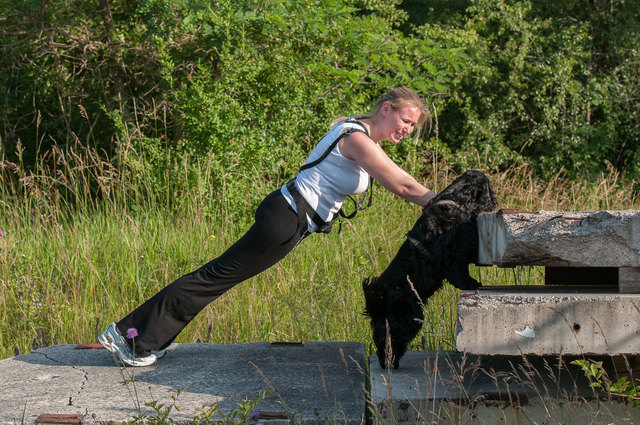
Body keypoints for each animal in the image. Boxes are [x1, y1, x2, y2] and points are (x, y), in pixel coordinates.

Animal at [362, 170, 498, 369]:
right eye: (489, 188)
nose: (495, 201)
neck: (456, 200)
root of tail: (378, 302)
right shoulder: (455, 253)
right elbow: (461, 273)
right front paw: (472, 283)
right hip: (406, 319)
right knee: (389, 339)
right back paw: (389, 362)